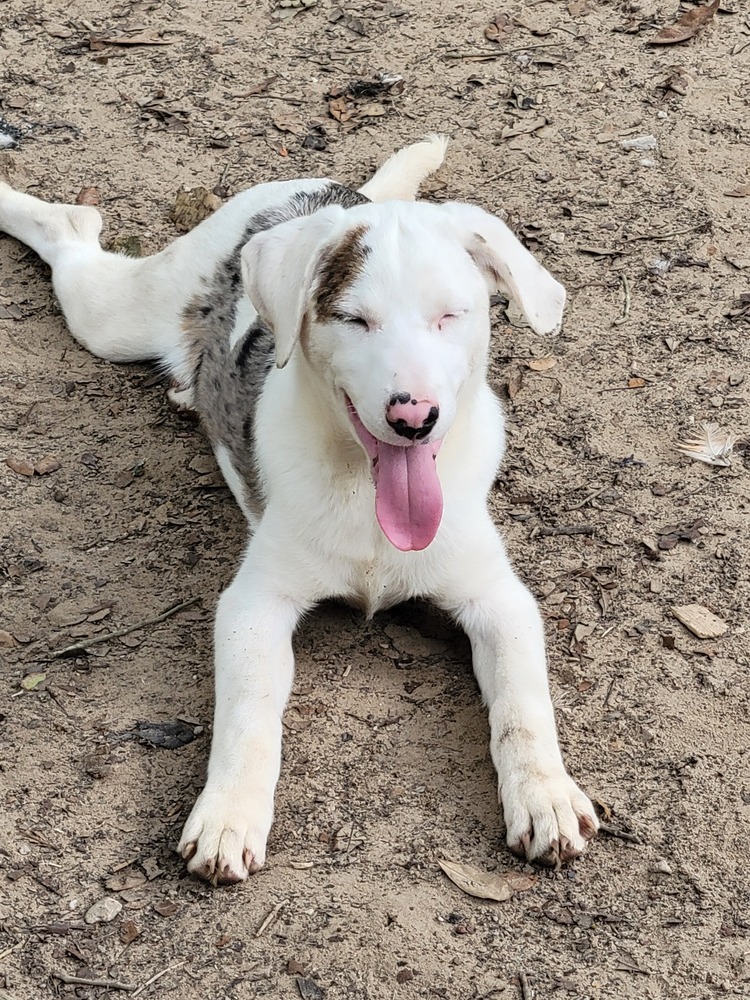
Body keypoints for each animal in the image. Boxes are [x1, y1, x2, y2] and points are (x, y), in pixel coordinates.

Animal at [0, 137, 600, 880]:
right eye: (354, 320)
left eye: (450, 316)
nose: (413, 419)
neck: (367, 497)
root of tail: (328, 191)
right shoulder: (255, 605)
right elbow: (249, 715)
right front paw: (228, 813)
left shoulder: (498, 600)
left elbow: (524, 702)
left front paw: (546, 795)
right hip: (117, 316)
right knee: (71, 230)